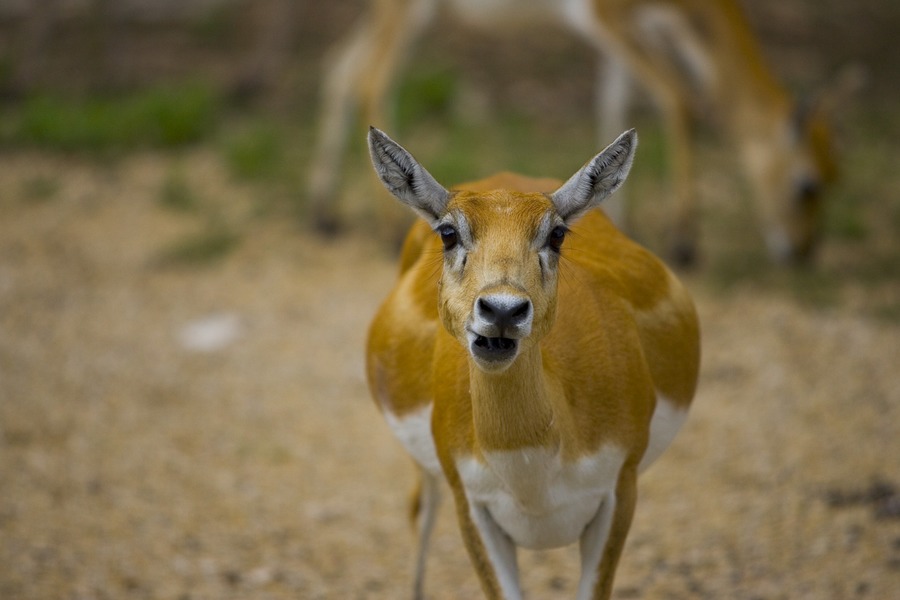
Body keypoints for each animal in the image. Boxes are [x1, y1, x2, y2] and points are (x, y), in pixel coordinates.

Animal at [308, 0, 856, 264]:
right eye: (807, 183)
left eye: (836, 176)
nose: (803, 253)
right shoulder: (606, 17)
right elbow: (679, 99)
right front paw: (684, 244)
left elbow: (614, 109)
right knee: (371, 79)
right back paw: (382, 232)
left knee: (339, 69)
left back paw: (325, 217)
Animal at [366, 124, 704, 596]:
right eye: (448, 232)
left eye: (557, 234)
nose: (503, 310)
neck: (532, 469)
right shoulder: (470, 501)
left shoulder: (621, 488)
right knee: (420, 509)